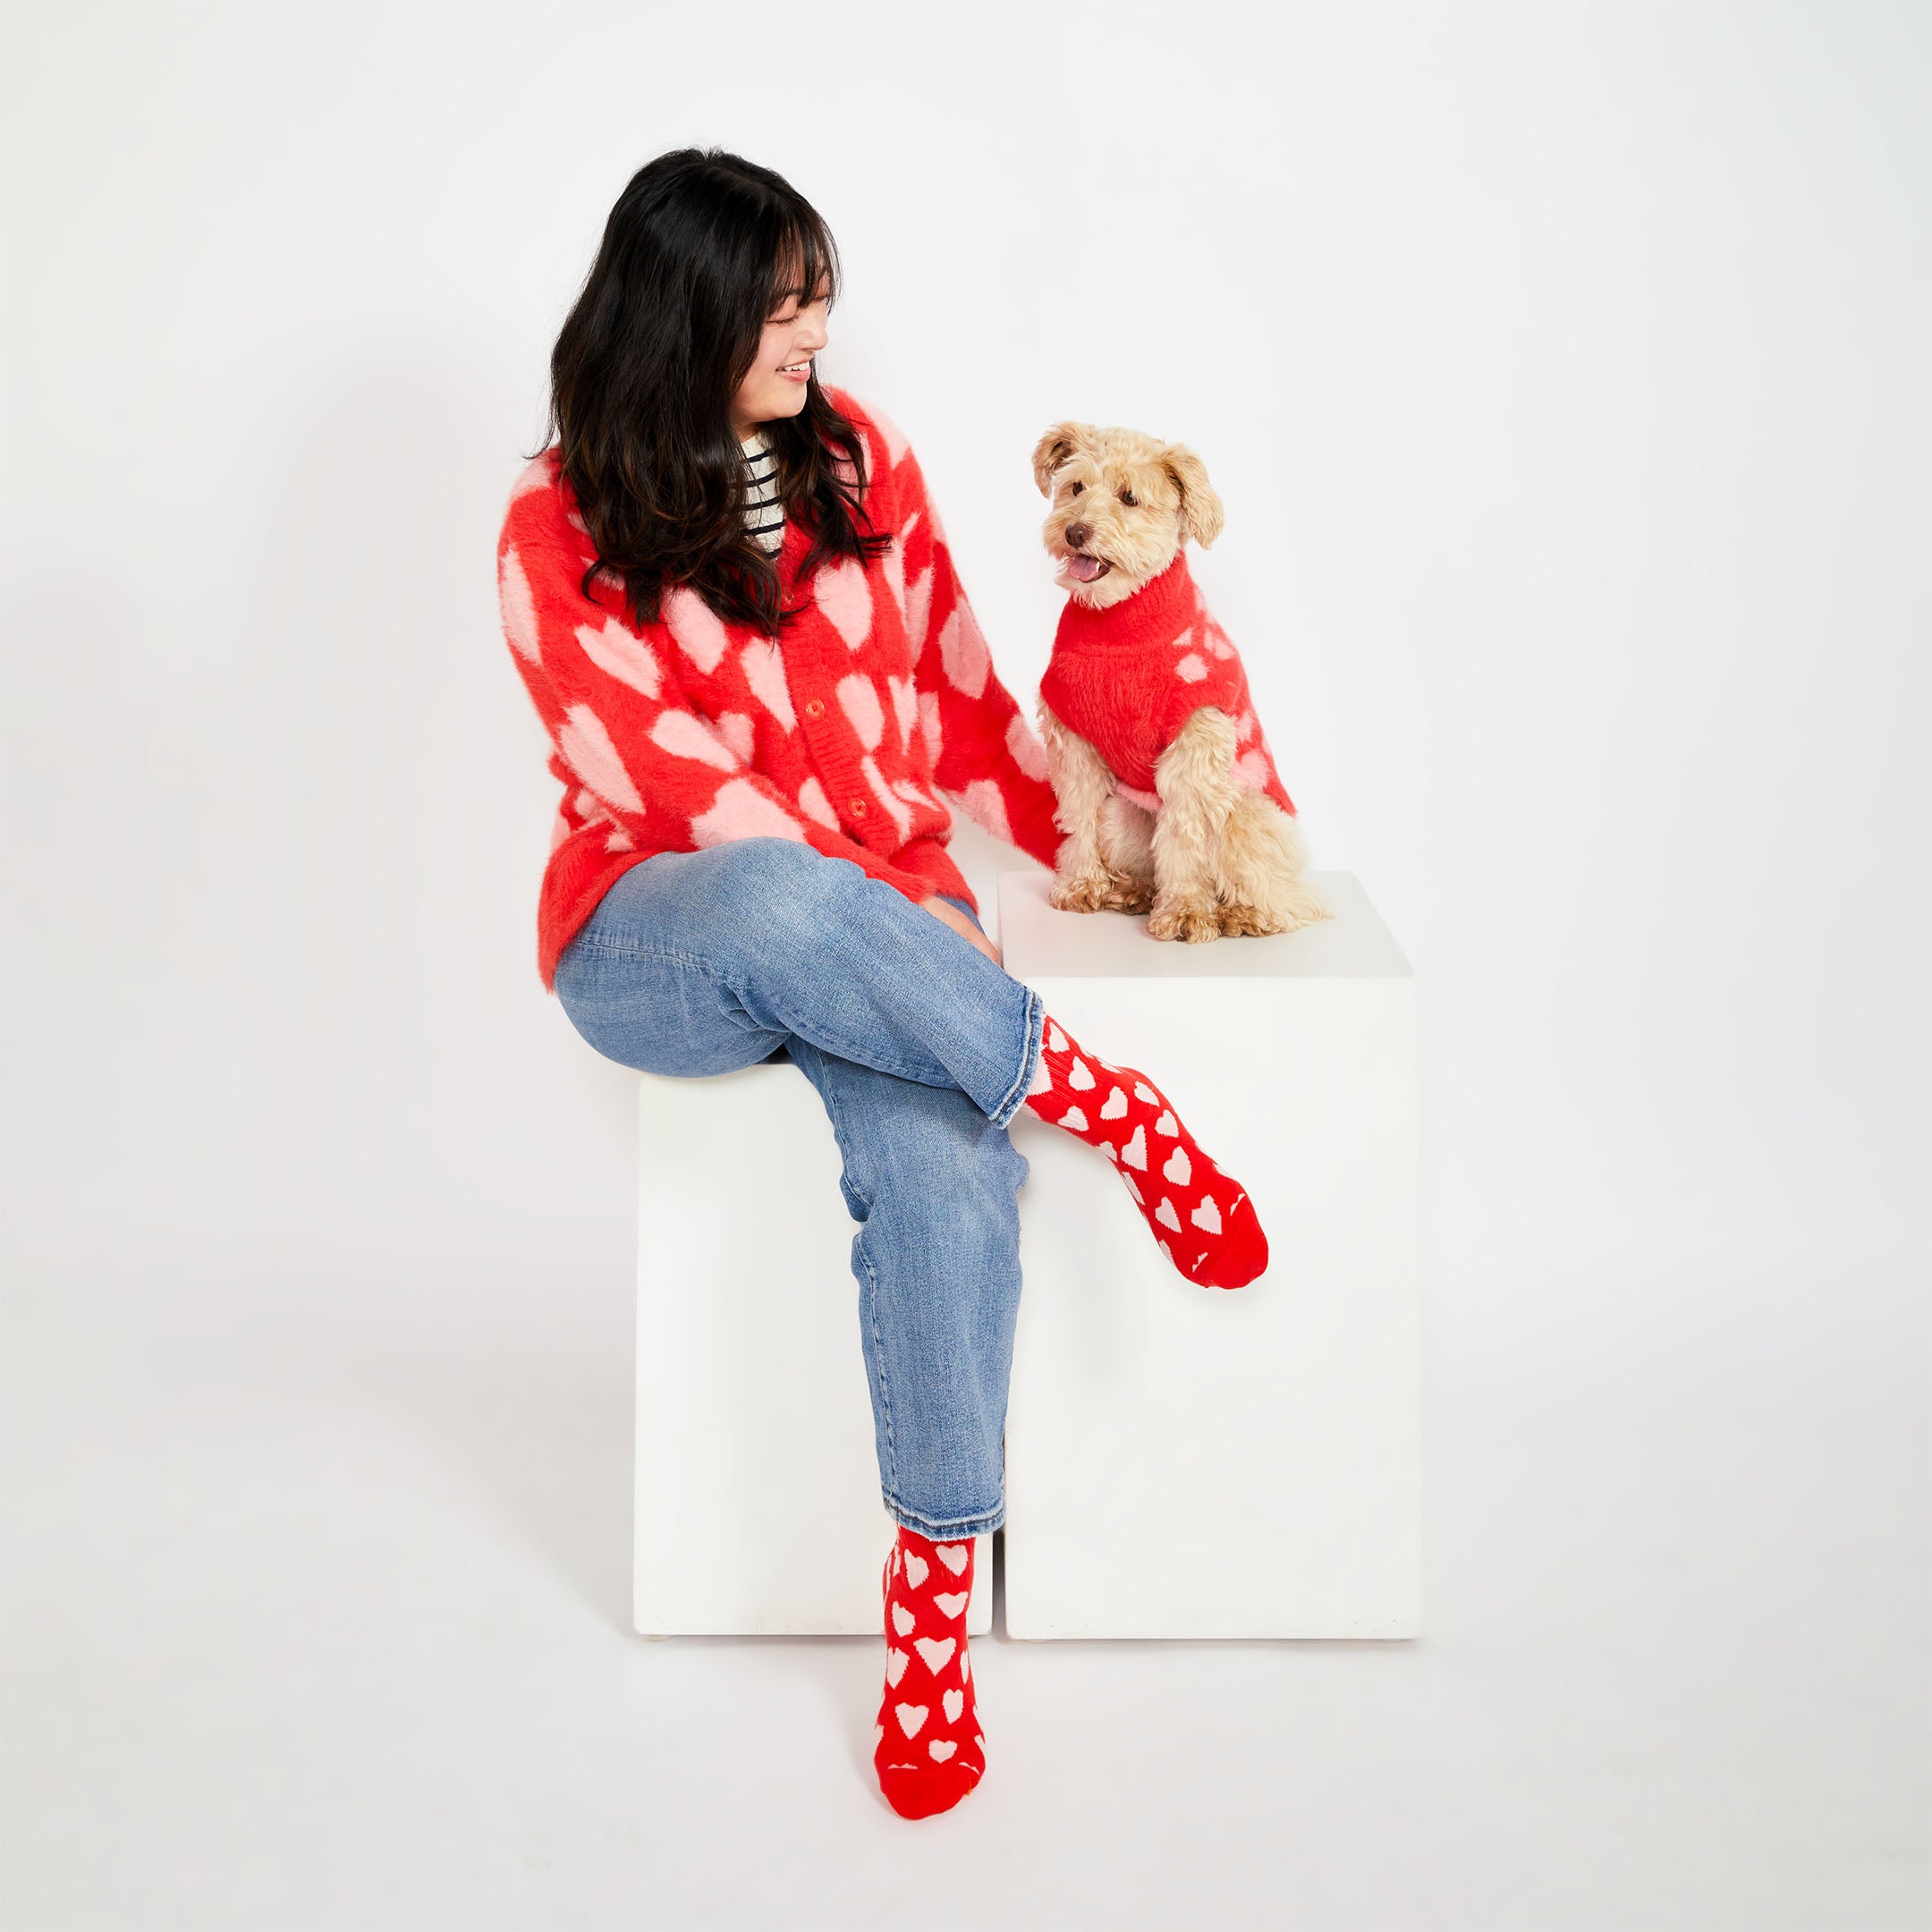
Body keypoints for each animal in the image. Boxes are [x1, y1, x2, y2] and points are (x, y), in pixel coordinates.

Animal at [1043, 423, 1329, 943]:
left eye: (1129, 497)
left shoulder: (1195, 746)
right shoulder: (1072, 738)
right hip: (1124, 814)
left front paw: (1185, 912)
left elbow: (1184, 835)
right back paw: (1135, 890)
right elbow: (1078, 817)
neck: (1120, 624)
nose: (1076, 532)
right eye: (1076, 487)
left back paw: (1244, 915)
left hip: (1246, 815)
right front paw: (1080, 884)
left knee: (1291, 903)